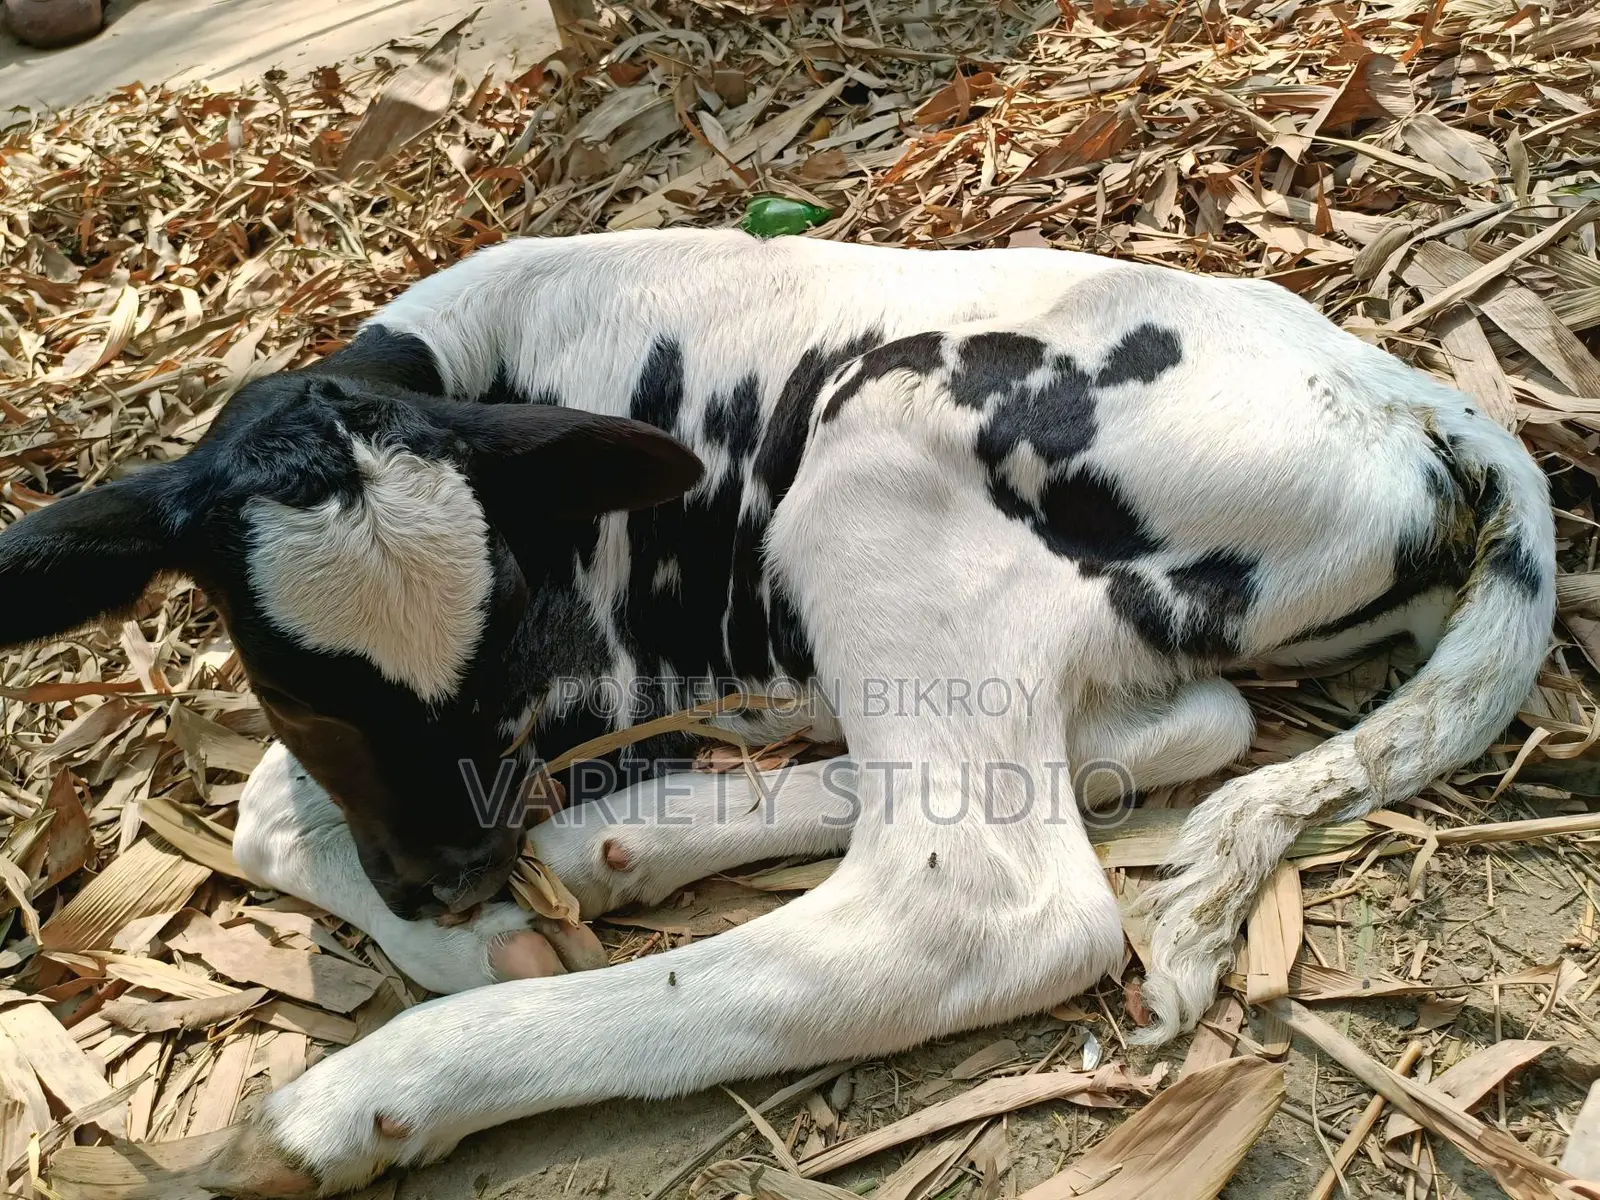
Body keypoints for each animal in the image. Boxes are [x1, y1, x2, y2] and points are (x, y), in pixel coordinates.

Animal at [0, 229, 1553, 1197]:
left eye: (490, 657)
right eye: (298, 680)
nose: (450, 881)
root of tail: (1421, 401)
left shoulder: (586, 663)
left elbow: (264, 810)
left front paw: (490, 951)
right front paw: (517, 895)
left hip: (880, 439)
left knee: (976, 900)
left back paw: (362, 1099)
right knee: (1185, 726)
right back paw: (633, 835)